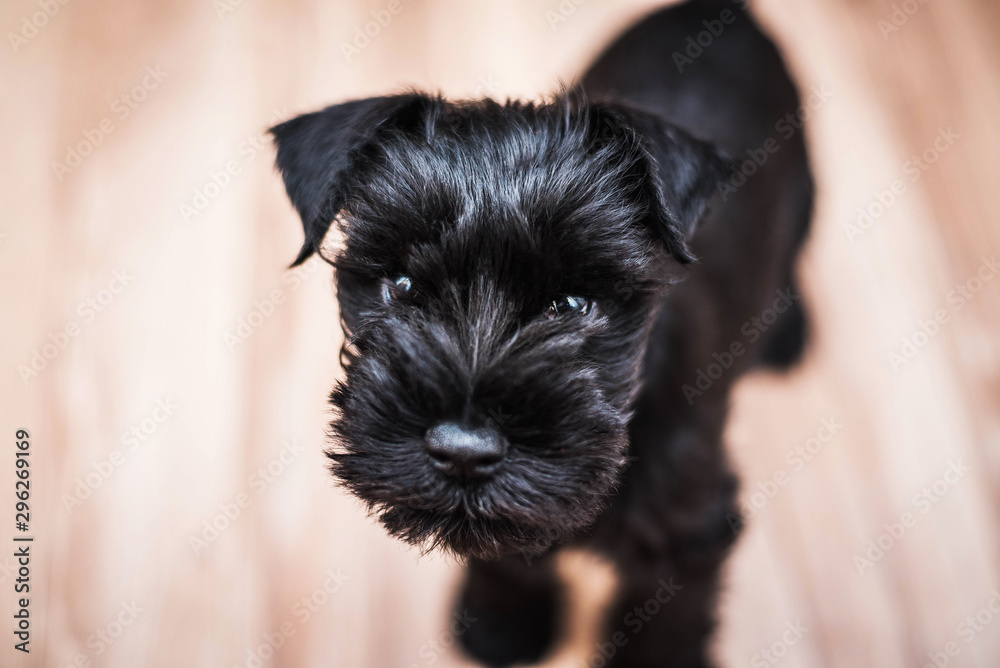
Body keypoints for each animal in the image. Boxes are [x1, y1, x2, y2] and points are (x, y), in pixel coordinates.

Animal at [272, 0, 812, 664]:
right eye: (400, 285)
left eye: (574, 303)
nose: (464, 452)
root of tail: (721, 10)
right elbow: (506, 558)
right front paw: (500, 628)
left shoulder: (690, 529)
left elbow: (668, 618)